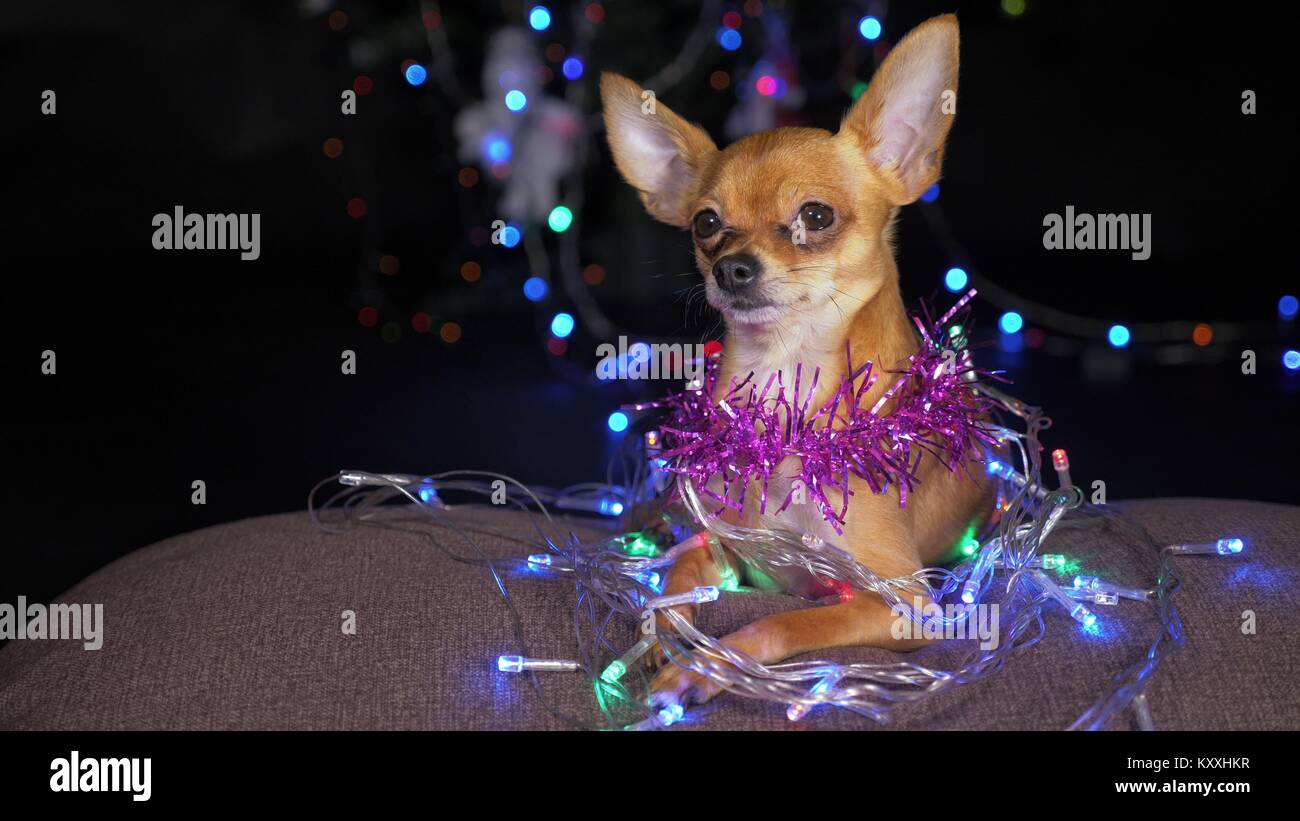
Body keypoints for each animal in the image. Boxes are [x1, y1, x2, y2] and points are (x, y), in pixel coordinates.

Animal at [598, 11, 993, 706]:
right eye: (706, 224)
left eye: (815, 215)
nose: (731, 267)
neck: (782, 391)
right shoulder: (729, 545)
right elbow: (679, 574)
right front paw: (662, 633)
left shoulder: (905, 605)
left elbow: (785, 621)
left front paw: (703, 668)